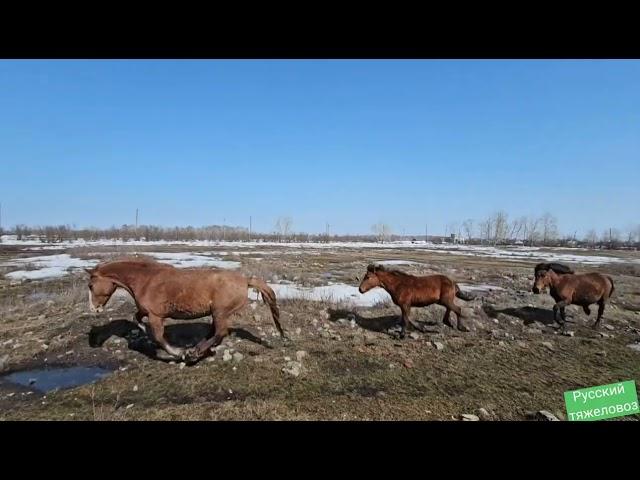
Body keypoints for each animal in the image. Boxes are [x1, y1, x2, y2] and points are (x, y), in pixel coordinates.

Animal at [86, 258, 286, 360]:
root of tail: (245, 280)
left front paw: (178, 353)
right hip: (216, 314)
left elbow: (159, 338)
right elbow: (137, 318)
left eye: (90, 285)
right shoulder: (146, 311)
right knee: (214, 333)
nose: (94, 309)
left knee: (220, 333)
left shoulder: (155, 315)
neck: (146, 280)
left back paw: (195, 352)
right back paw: (199, 348)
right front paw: (143, 330)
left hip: (220, 312)